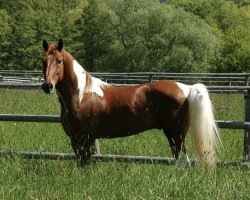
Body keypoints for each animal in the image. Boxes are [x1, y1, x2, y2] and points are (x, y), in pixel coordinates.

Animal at [41, 39, 219, 167]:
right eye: (43, 61)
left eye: (59, 61)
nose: (47, 86)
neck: (82, 95)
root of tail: (186, 88)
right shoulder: (75, 139)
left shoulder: (86, 138)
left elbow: (86, 165)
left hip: (176, 134)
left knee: (183, 161)